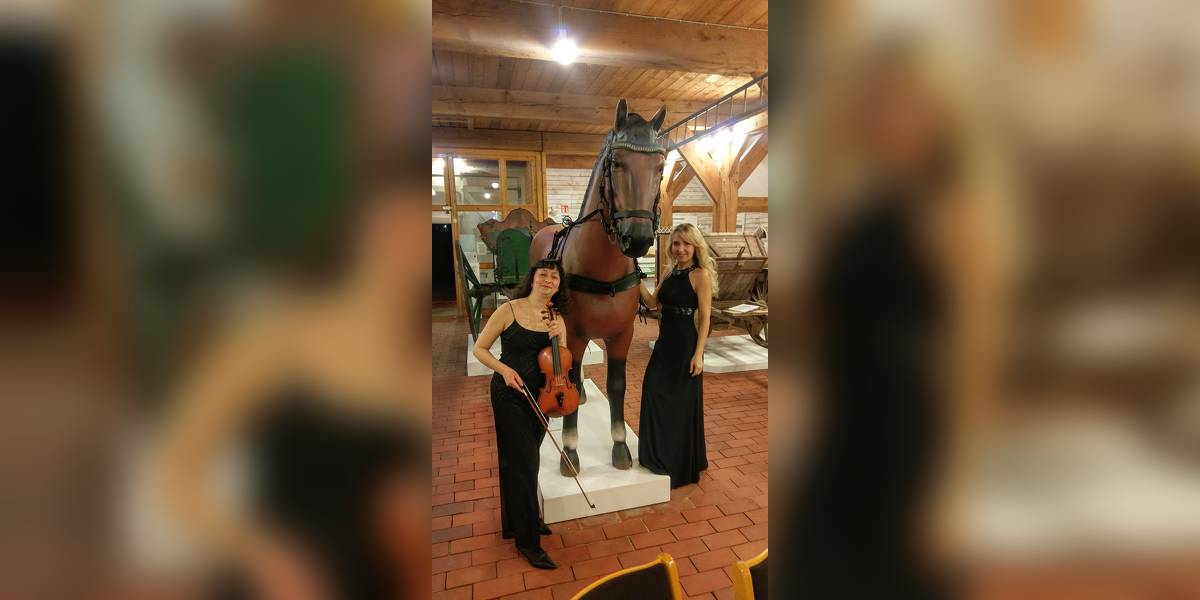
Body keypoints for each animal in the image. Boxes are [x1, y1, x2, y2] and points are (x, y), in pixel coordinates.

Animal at [530, 99, 667, 475]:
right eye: (616, 163)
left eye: (660, 166)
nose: (638, 239)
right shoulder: (575, 333)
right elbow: (567, 371)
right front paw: (570, 450)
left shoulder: (622, 334)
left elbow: (617, 385)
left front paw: (620, 445)